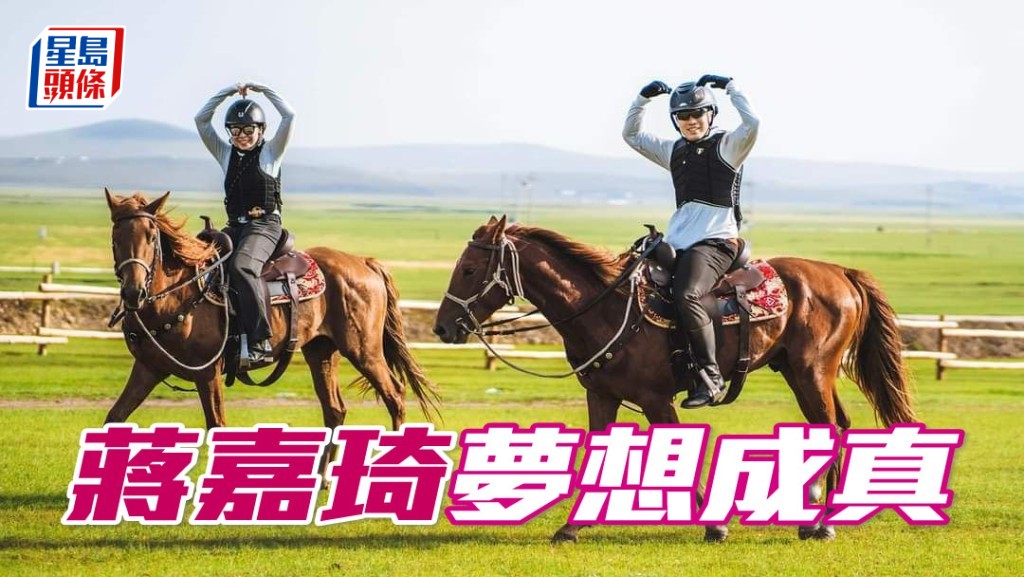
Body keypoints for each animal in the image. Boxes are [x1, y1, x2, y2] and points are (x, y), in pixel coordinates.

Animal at [104, 190, 439, 465]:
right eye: (115, 236)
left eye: (151, 236)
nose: (134, 292)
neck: (178, 294)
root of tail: (364, 262)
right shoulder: (148, 368)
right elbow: (115, 417)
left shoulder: (207, 373)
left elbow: (216, 425)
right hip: (321, 351)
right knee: (334, 409)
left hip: (363, 350)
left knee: (395, 395)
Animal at [433, 215, 916, 543]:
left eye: (470, 269)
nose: (442, 327)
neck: (606, 309)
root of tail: (841, 273)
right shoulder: (602, 397)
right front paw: (571, 527)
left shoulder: (656, 400)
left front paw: (715, 526)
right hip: (803, 374)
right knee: (838, 426)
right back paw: (820, 520)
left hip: (811, 372)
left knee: (830, 426)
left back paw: (820, 521)